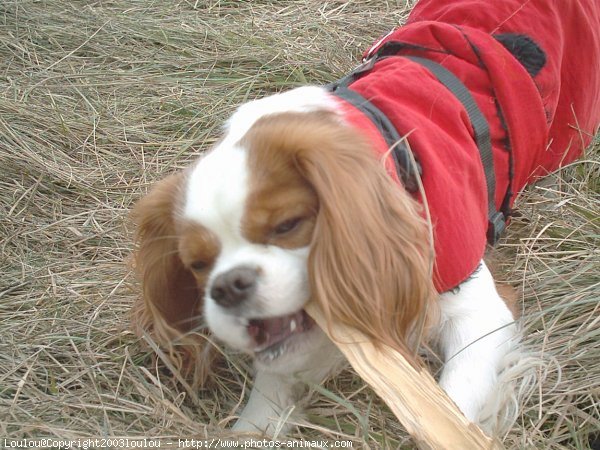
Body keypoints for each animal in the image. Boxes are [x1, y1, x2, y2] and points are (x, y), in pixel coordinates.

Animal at [131, 0, 600, 438]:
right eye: (197, 265)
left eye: (287, 225)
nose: (228, 287)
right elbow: (272, 389)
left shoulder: (478, 310)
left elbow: (453, 401)